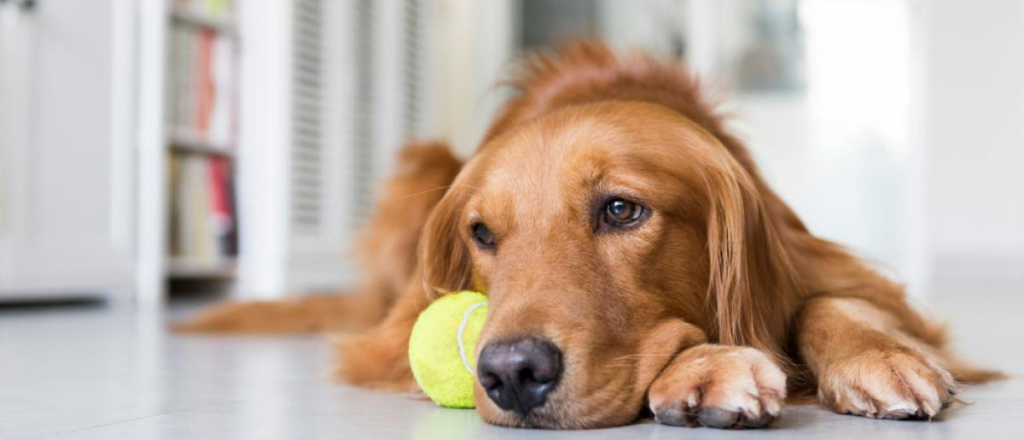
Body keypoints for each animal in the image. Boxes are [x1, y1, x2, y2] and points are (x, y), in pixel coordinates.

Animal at [178, 42, 999, 429]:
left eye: (621, 210)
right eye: (482, 233)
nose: (511, 373)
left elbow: (834, 301)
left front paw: (879, 355)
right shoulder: (389, 337)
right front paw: (706, 366)